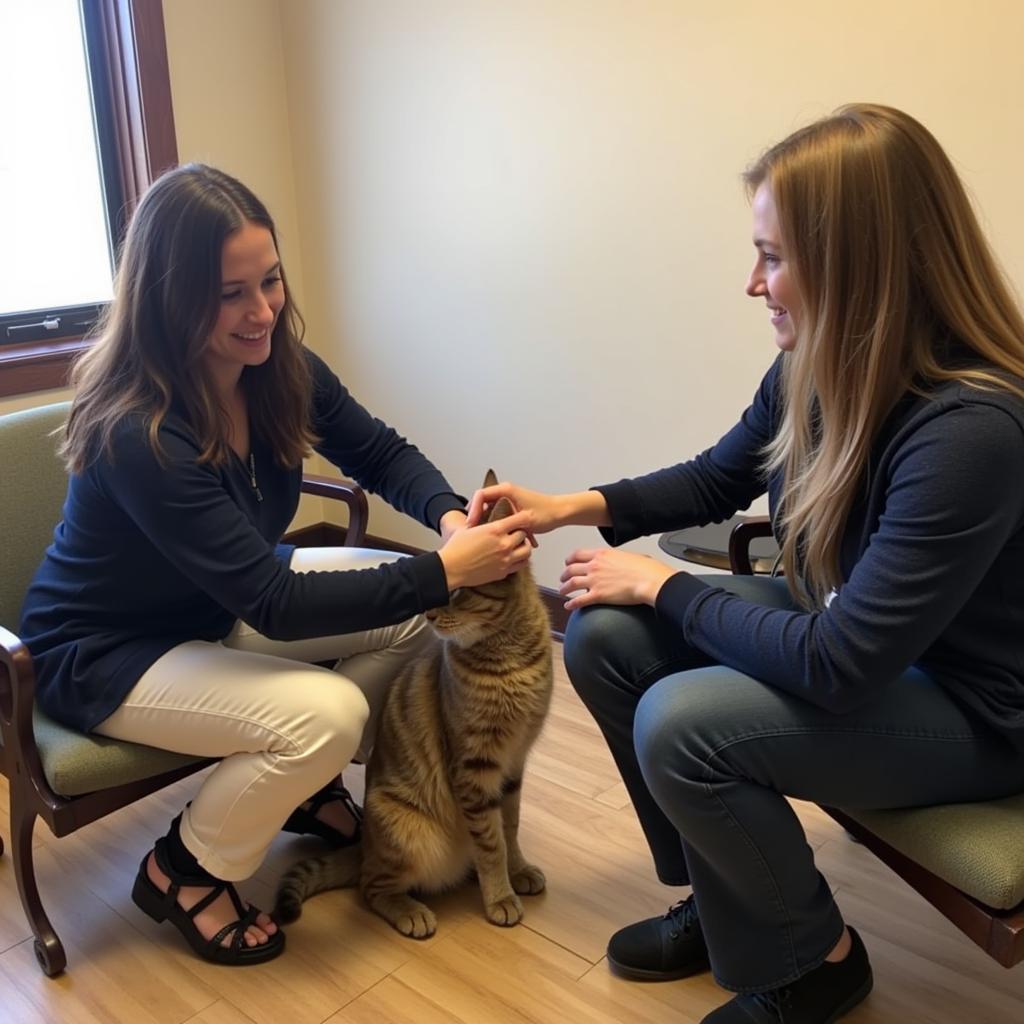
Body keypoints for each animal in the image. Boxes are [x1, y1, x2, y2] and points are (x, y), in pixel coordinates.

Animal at [274, 471, 552, 937]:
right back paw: (411, 912)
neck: (508, 657)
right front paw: (500, 896)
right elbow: (491, 843)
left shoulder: (514, 764)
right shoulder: (475, 769)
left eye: (458, 590)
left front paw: (518, 871)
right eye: (438, 582)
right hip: (407, 834)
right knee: (371, 888)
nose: (429, 615)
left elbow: (509, 828)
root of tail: (365, 846)